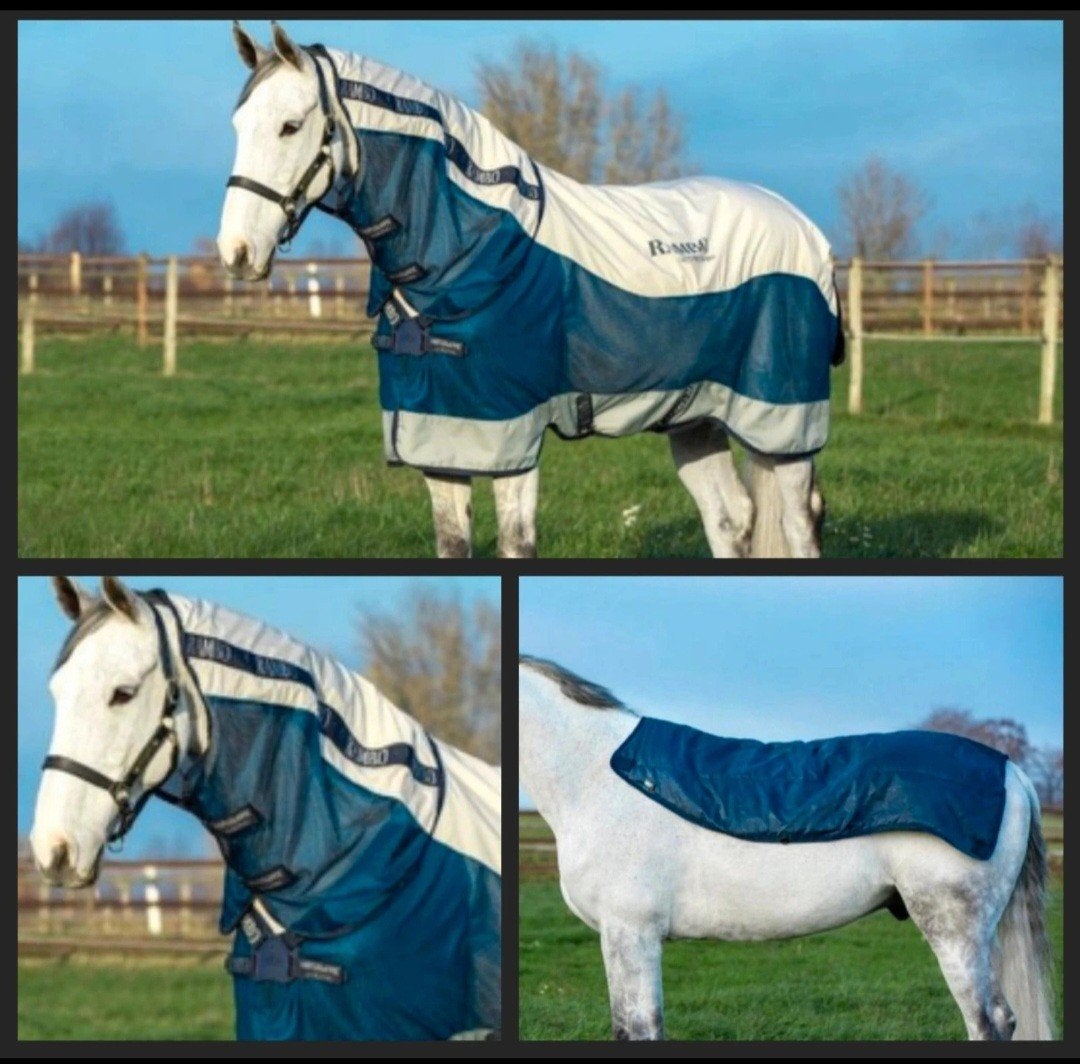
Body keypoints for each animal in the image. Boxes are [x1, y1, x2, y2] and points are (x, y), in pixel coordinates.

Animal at [217, 22, 844, 559]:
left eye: (290, 126)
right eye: (239, 127)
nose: (237, 253)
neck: (468, 252)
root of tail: (804, 226)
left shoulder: (510, 436)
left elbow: (516, 546)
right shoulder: (440, 435)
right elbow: (453, 544)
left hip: (782, 420)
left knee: (797, 523)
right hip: (696, 417)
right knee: (730, 520)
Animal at [518, 655, 1054, 1041]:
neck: (594, 778)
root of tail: (1012, 771)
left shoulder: (630, 933)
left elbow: (638, 1030)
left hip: (954, 929)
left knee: (989, 1021)